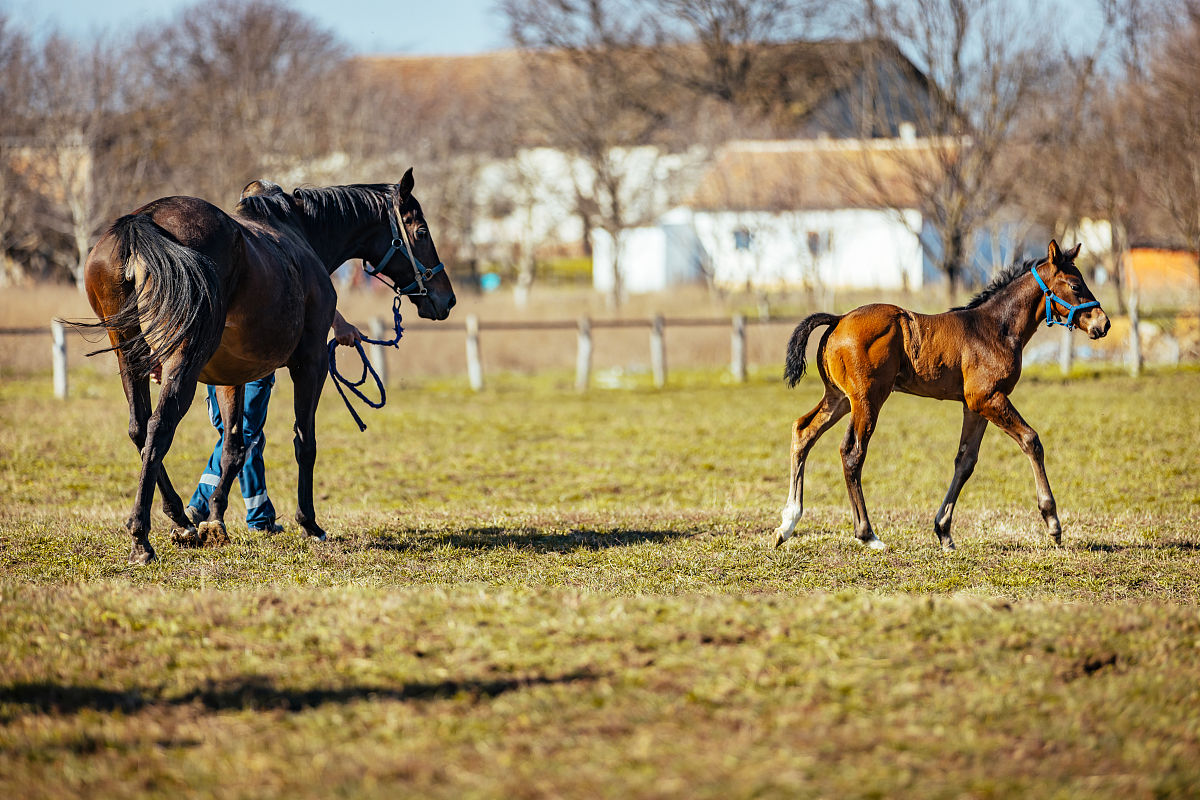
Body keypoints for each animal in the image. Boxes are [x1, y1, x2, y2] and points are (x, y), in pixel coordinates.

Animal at [73, 168, 455, 564]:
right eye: (421, 232)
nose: (447, 298)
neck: (299, 233)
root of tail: (142, 222)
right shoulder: (312, 362)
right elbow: (304, 441)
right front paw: (309, 523)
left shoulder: (231, 376)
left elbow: (233, 448)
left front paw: (215, 521)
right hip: (183, 359)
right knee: (159, 427)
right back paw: (142, 537)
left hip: (128, 353)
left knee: (139, 428)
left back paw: (181, 519)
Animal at [773, 240, 1109, 551]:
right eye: (1076, 285)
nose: (1103, 323)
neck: (995, 328)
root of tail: (838, 318)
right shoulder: (988, 398)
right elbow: (1031, 440)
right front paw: (1053, 523)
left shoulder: (975, 406)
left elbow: (966, 461)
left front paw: (944, 531)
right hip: (867, 399)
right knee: (852, 453)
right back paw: (867, 535)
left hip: (840, 398)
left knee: (803, 431)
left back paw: (787, 524)